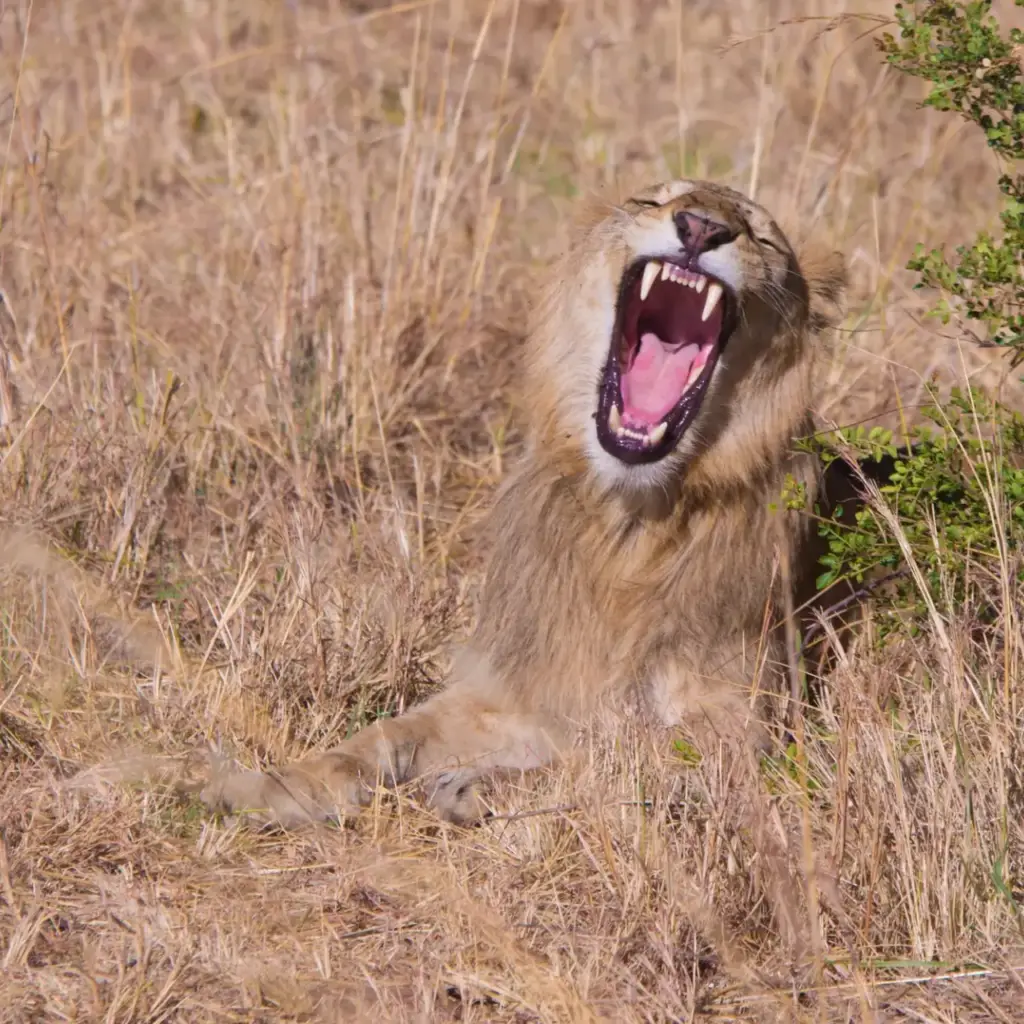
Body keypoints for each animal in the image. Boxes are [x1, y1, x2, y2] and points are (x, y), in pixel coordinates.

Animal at [200, 178, 848, 828]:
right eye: (651, 201)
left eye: (761, 235)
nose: (700, 228)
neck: (627, 522)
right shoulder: (505, 690)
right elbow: (381, 737)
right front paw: (256, 785)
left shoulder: (745, 731)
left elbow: (616, 760)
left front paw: (480, 785)